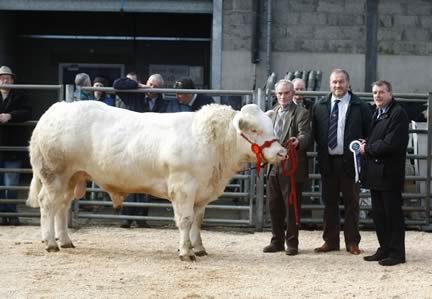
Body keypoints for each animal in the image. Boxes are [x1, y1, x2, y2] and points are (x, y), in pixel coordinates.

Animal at [25, 100, 286, 260]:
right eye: (254, 130)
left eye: (271, 127)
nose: (282, 153)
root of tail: (56, 109)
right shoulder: (183, 188)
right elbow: (185, 221)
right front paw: (186, 252)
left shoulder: (201, 193)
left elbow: (198, 221)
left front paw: (199, 247)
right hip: (54, 174)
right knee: (48, 204)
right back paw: (50, 243)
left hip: (73, 176)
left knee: (62, 206)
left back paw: (65, 240)